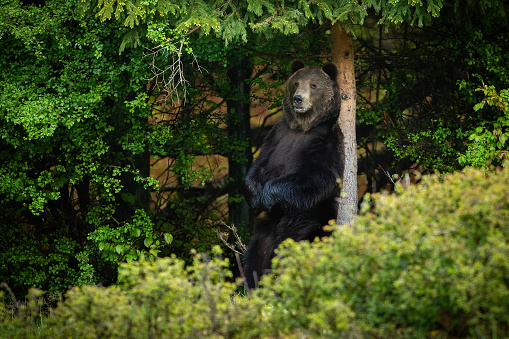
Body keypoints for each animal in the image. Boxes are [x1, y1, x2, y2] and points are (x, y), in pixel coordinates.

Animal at [242, 61, 346, 290]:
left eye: (314, 85)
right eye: (296, 82)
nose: (298, 98)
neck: (303, 128)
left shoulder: (327, 141)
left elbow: (318, 177)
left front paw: (268, 194)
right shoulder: (277, 137)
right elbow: (257, 168)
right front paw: (256, 195)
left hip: (313, 220)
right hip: (267, 230)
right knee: (255, 256)